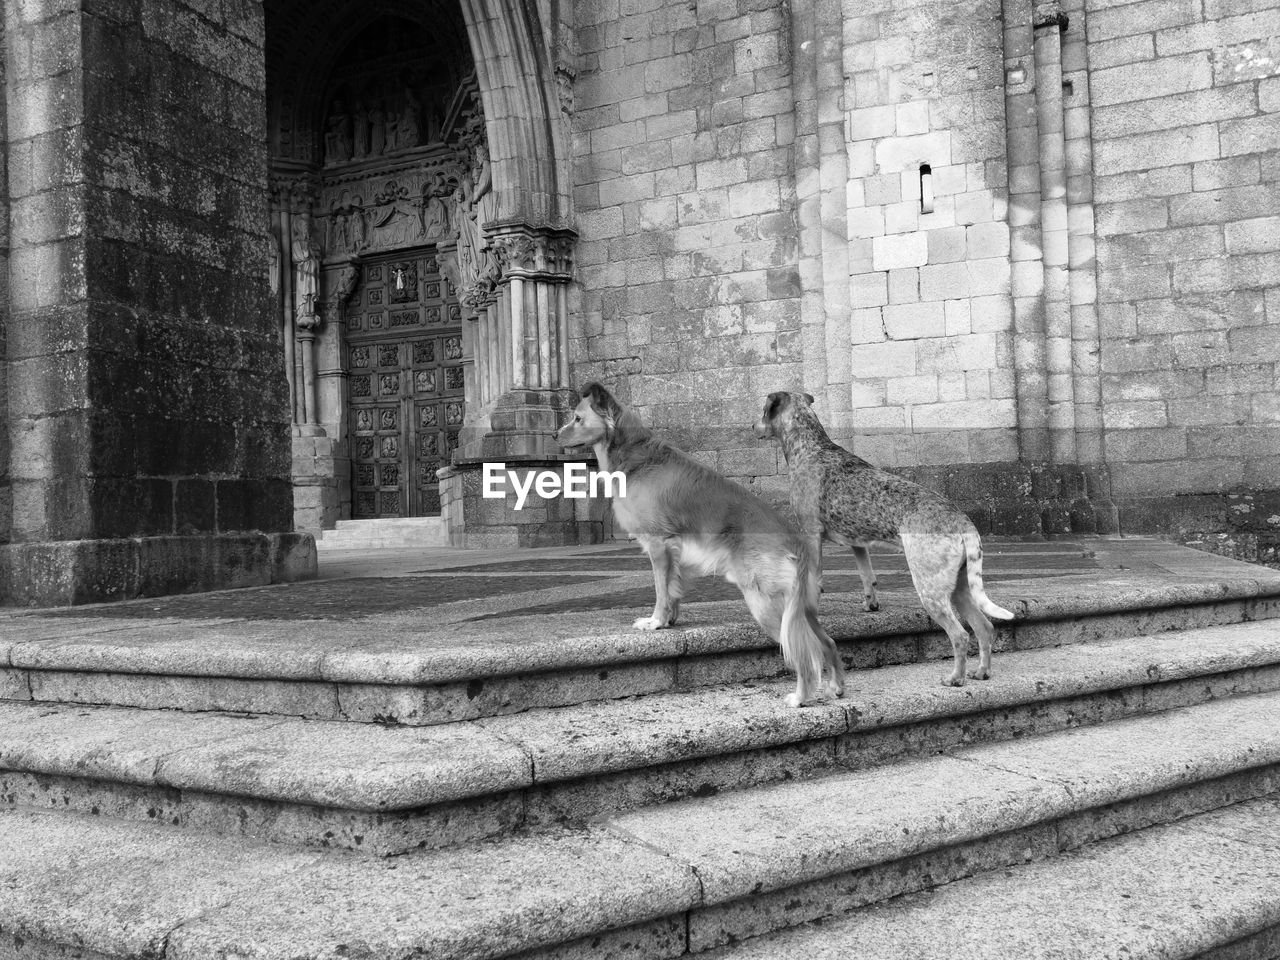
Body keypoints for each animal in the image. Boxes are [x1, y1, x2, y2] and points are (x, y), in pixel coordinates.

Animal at [558, 384, 839, 706]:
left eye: (577, 419)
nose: (554, 435)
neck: (635, 455)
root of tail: (795, 540)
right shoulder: (675, 550)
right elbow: (672, 588)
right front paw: (670, 620)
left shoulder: (658, 543)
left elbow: (660, 590)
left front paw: (656, 622)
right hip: (800, 609)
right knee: (827, 642)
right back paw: (836, 687)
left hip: (766, 604)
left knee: (804, 655)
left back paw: (800, 698)